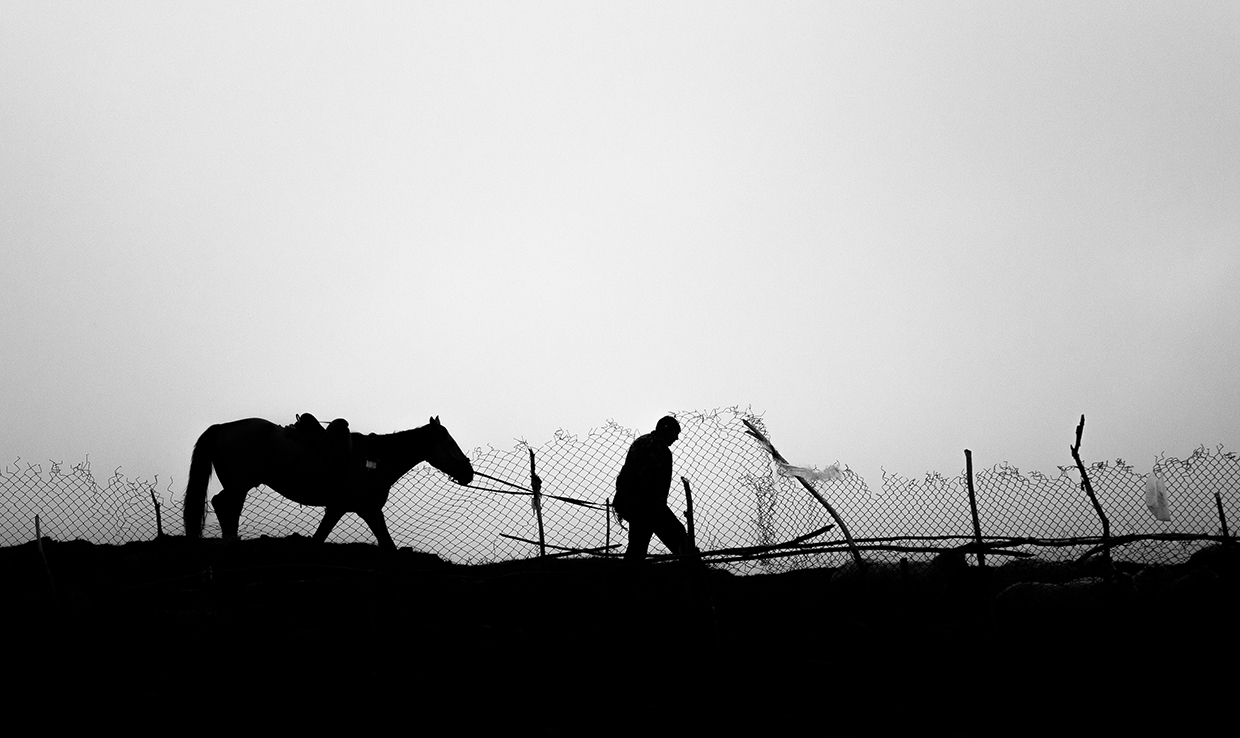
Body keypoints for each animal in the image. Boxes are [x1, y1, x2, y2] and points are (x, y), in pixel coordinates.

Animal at [181, 416, 471, 548]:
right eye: (449, 442)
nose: (468, 472)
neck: (376, 459)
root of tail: (221, 427)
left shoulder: (368, 510)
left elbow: (387, 544)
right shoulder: (342, 508)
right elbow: (319, 538)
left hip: (238, 486)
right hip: (240, 485)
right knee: (223, 504)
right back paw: (231, 539)